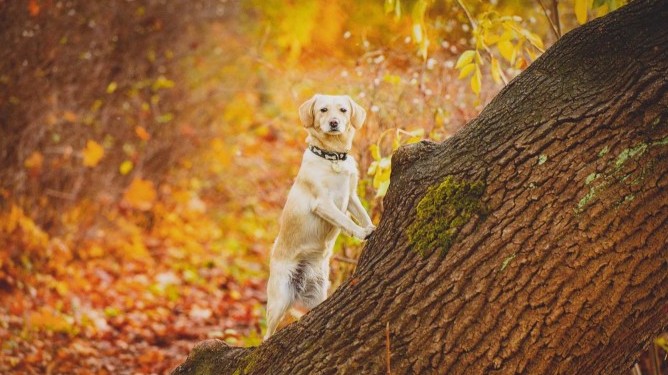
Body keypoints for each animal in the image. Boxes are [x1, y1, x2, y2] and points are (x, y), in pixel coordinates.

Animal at [262, 94, 376, 340]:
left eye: (343, 110)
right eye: (323, 110)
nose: (334, 123)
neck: (333, 157)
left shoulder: (351, 197)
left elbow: (362, 214)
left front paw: (371, 225)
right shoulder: (323, 203)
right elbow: (346, 222)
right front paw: (362, 233)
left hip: (318, 293)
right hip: (279, 299)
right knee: (267, 333)